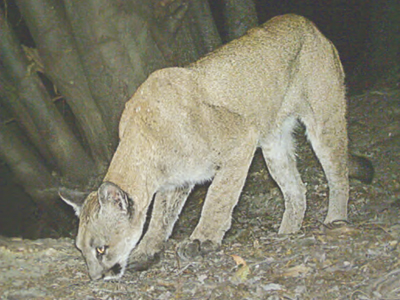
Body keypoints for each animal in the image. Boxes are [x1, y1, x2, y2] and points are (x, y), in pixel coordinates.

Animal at [61, 14, 374, 280]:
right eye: (82, 250)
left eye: (101, 248)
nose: (95, 277)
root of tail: (309, 24)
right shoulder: (177, 181)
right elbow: (160, 218)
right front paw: (146, 252)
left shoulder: (241, 139)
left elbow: (218, 196)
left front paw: (203, 240)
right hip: (274, 144)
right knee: (296, 190)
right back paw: (287, 234)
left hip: (324, 121)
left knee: (338, 175)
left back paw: (335, 220)